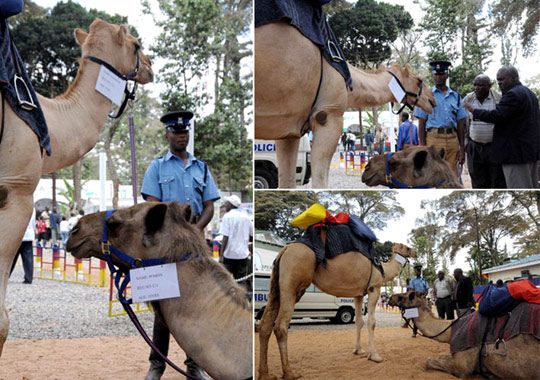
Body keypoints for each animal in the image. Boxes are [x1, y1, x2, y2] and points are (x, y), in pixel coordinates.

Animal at [255, 21, 436, 189]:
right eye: (419, 81)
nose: (432, 100)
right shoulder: (328, 116)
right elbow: (320, 183)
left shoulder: (289, 130)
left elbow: (286, 181)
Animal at [258, 242, 418, 378]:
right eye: (407, 248)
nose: (415, 252)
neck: (383, 269)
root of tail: (284, 250)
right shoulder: (374, 288)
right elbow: (371, 322)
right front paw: (375, 356)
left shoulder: (358, 294)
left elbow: (358, 321)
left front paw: (358, 350)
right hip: (293, 284)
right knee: (281, 325)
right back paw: (290, 373)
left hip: (277, 284)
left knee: (265, 323)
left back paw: (265, 374)